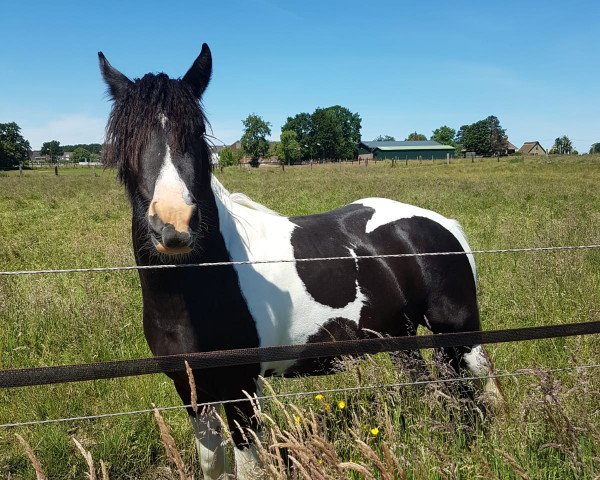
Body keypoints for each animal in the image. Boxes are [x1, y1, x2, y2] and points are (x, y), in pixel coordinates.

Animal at [101, 43, 504, 478]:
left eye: (195, 133)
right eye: (128, 138)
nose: (174, 222)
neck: (200, 288)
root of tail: (441, 224)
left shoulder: (241, 387)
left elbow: (248, 466)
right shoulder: (190, 389)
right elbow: (212, 463)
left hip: (458, 332)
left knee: (485, 387)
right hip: (401, 337)